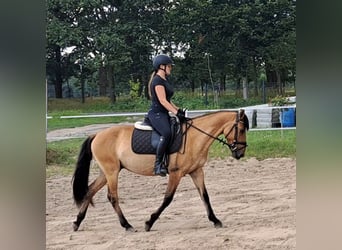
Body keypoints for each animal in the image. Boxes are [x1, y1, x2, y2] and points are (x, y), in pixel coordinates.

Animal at [71, 109, 248, 232]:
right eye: (241, 129)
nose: (240, 153)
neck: (194, 137)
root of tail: (96, 134)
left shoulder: (196, 171)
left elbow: (205, 196)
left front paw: (215, 220)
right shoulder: (176, 173)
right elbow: (168, 199)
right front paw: (149, 222)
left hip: (106, 172)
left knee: (90, 191)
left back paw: (77, 222)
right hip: (111, 172)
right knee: (112, 197)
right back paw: (127, 225)